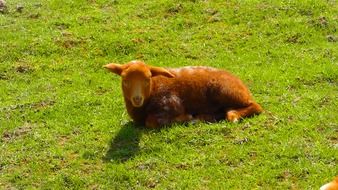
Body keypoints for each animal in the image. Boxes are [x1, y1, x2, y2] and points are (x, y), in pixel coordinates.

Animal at [104, 60, 262, 127]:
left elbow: (151, 122)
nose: (137, 98)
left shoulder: (171, 103)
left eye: (148, 78)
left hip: (227, 91)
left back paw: (232, 116)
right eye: (125, 80)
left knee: (256, 107)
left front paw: (186, 118)